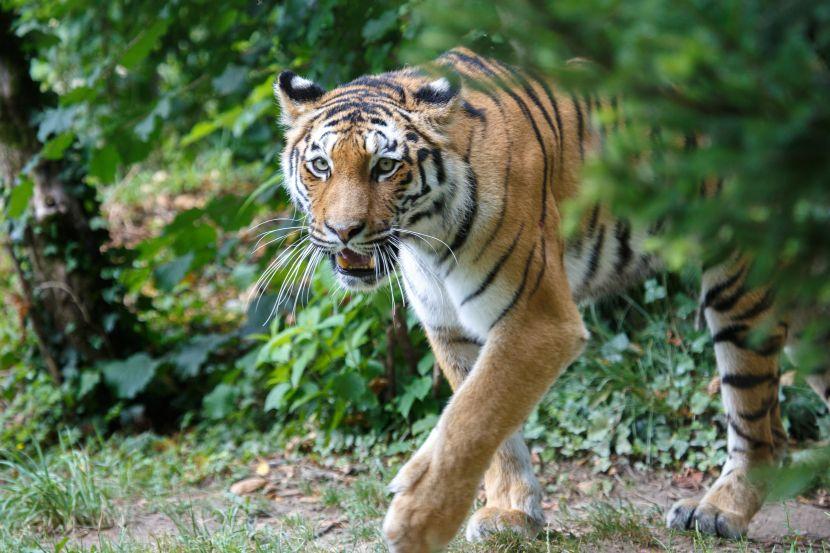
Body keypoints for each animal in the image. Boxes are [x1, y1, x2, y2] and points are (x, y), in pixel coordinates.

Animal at [272, 48, 830, 552]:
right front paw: (511, 514)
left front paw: (418, 522)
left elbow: (472, 417)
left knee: (760, 429)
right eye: (320, 165)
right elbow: (494, 426)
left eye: (385, 166)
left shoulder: (537, 319)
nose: (343, 231)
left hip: (740, 287)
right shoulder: (451, 328)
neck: (425, 238)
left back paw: (717, 511)